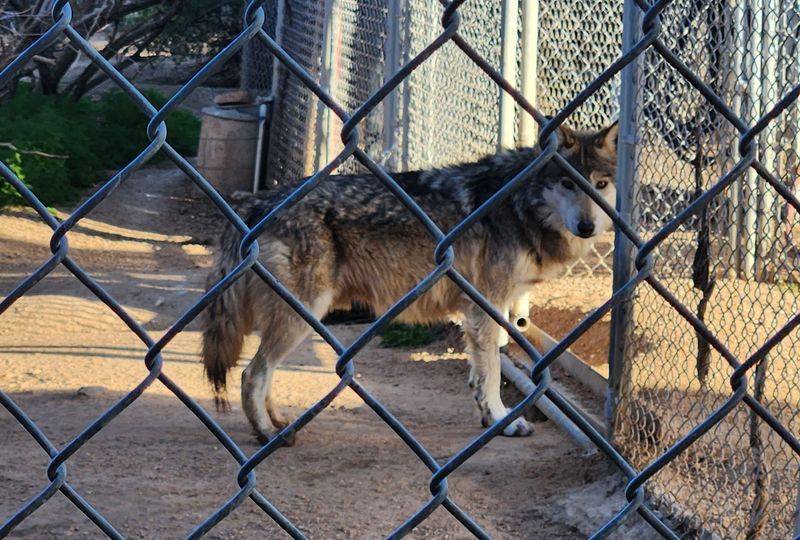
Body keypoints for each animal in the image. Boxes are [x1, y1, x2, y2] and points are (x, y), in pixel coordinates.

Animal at [200, 121, 619, 444]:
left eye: (600, 184)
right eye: (566, 183)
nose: (586, 227)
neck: (518, 204)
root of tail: (253, 202)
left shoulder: (483, 310)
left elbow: (480, 371)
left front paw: (487, 415)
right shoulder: (486, 304)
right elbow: (492, 371)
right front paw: (504, 421)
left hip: (298, 319)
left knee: (263, 374)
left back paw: (278, 423)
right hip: (301, 317)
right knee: (251, 375)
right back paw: (267, 435)